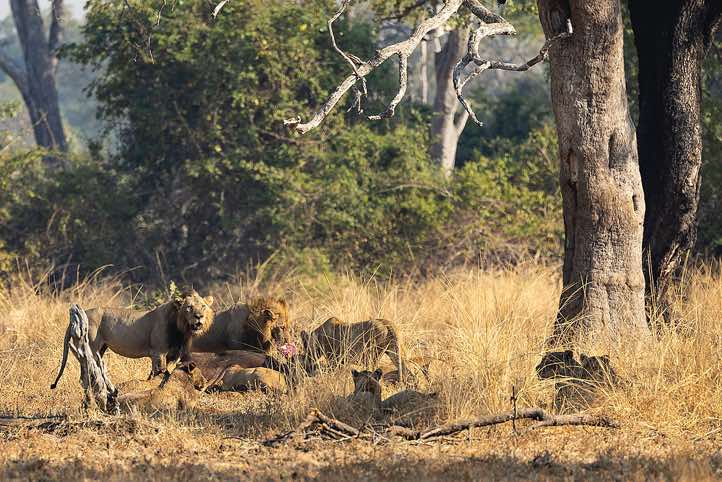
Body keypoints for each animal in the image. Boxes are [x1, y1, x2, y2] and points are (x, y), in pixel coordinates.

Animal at [50, 291, 214, 389]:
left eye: (203, 306)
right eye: (189, 307)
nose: (199, 316)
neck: (181, 330)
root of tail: (84, 312)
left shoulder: (173, 355)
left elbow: (168, 372)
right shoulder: (158, 353)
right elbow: (159, 373)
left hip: (100, 349)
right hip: (90, 347)